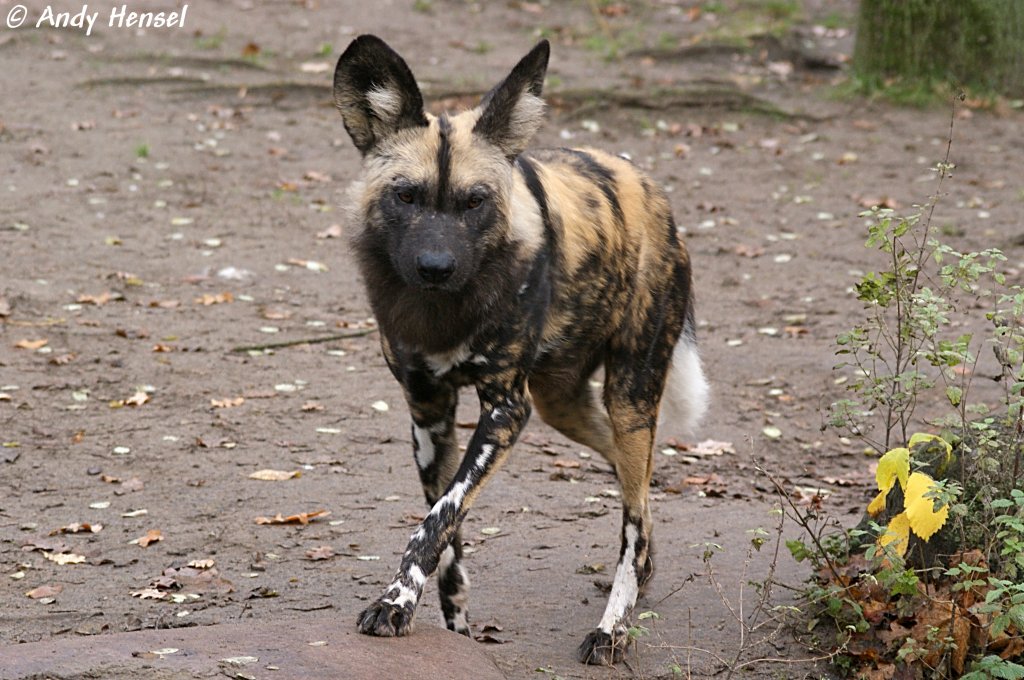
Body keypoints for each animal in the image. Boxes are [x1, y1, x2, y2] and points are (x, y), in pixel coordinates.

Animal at [331, 33, 708, 663]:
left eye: (474, 202)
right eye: (405, 196)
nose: (436, 267)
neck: (445, 312)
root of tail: (652, 190)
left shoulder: (506, 410)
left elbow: (434, 521)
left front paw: (393, 604)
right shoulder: (428, 412)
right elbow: (447, 533)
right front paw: (454, 629)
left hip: (629, 398)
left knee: (633, 513)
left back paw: (612, 629)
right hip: (563, 404)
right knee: (637, 488)